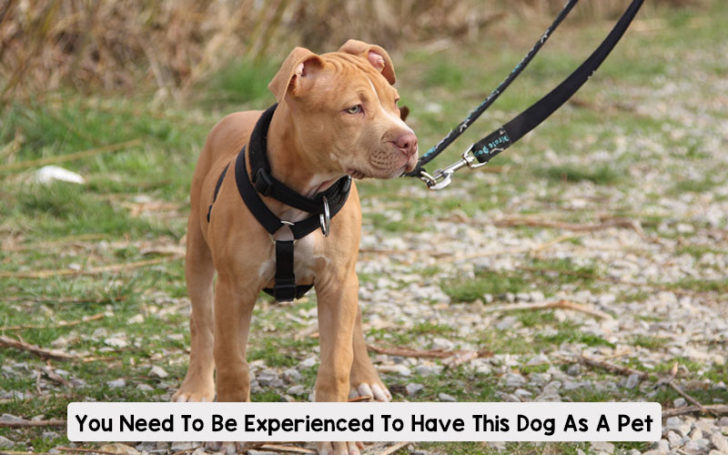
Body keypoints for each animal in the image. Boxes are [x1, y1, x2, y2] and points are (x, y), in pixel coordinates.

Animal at [173, 40, 418, 455]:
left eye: (395, 102)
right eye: (354, 109)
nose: (410, 141)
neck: (302, 196)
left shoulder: (338, 282)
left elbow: (336, 361)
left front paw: (336, 434)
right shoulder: (234, 290)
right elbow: (233, 362)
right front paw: (230, 431)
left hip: (348, 278)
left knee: (354, 327)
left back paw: (366, 378)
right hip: (198, 255)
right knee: (201, 323)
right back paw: (196, 387)